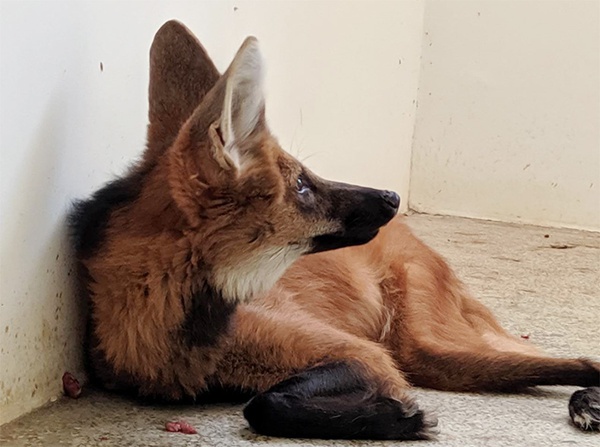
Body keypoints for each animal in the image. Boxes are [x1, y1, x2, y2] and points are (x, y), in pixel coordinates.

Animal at [71, 19, 600, 440]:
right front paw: (398, 417)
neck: (178, 325)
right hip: (436, 358)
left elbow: (265, 403)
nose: (392, 197)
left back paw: (584, 400)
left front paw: (402, 418)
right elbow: (262, 400)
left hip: (423, 343)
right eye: (302, 186)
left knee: (581, 361)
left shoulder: (363, 354)